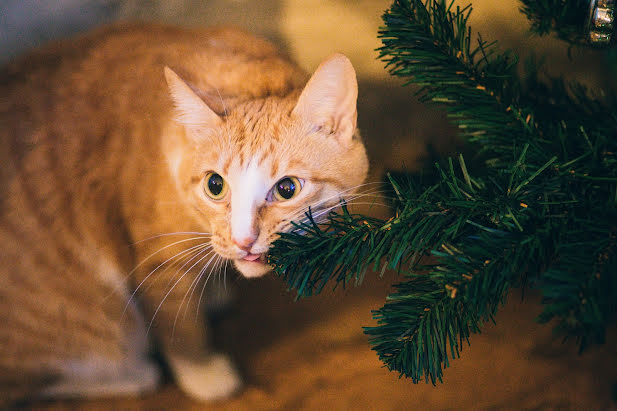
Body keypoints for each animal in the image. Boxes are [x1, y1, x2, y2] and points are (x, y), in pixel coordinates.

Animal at [0, 23, 366, 406]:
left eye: (287, 189)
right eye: (215, 185)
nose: (243, 240)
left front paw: (211, 290)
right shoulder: (157, 263)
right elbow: (180, 325)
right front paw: (202, 373)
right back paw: (133, 374)